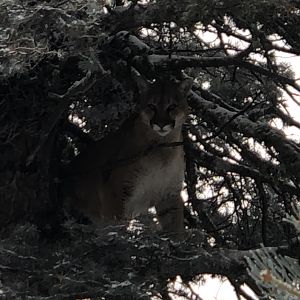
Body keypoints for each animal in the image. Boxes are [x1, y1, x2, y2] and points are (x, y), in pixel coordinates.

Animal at [64, 77, 193, 239]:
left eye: (172, 106)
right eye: (151, 106)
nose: (161, 124)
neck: (163, 148)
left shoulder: (169, 192)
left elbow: (175, 226)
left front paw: (179, 242)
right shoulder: (115, 189)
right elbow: (115, 224)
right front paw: (117, 239)